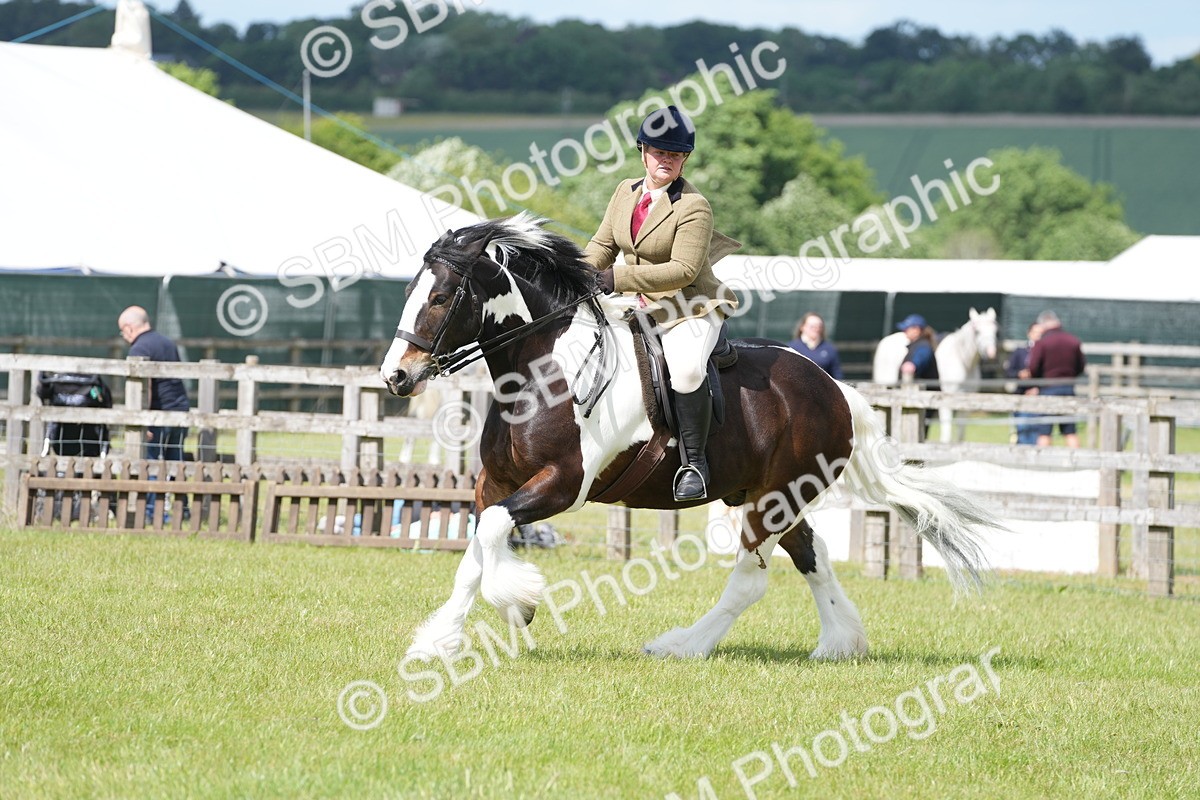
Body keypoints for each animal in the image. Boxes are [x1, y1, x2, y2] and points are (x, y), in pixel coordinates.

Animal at [380, 214, 998, 661]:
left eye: (439, 299)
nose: (396, 377)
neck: (541, 371)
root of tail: (836, 390)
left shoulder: (563, 484)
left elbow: (494, 535)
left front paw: (519, 602)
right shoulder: (496, 481)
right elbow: (475, 551)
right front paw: (438, 642)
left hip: (772, 500)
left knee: (750, 580)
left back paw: (682, 646)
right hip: (777, 497)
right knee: (813, 556)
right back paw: (839, 644)